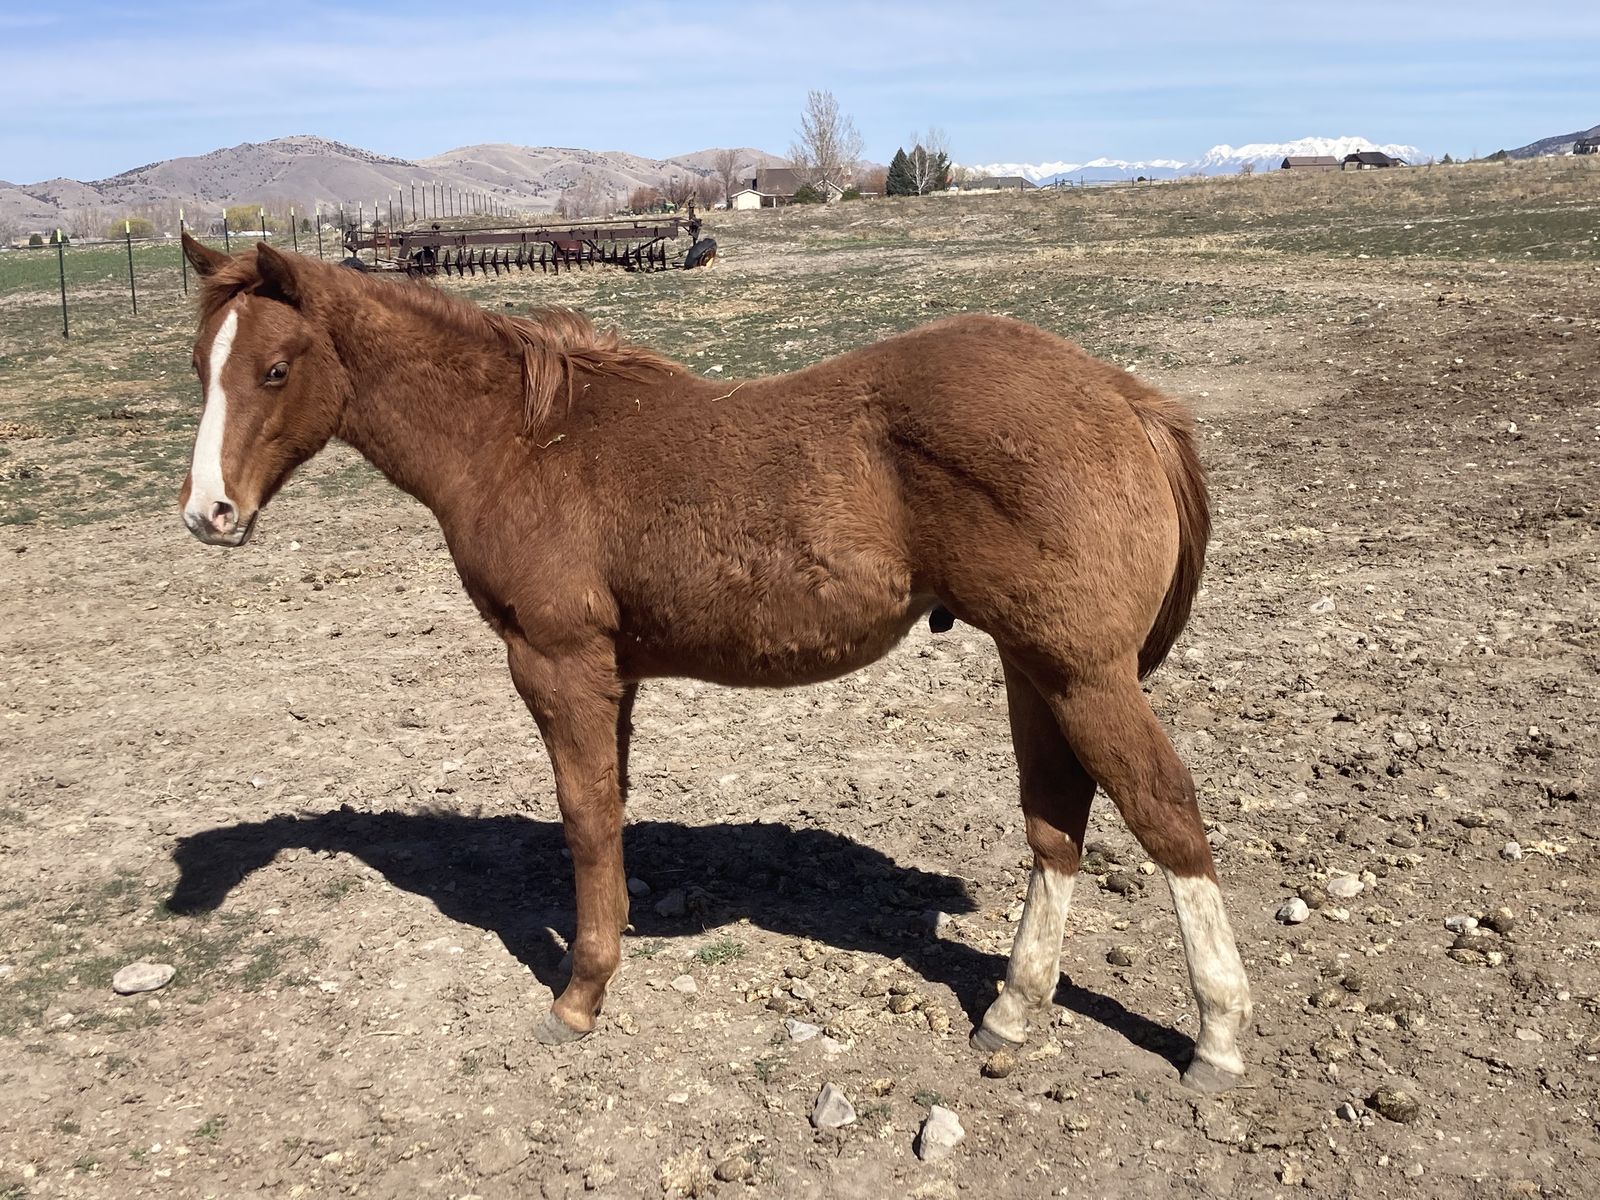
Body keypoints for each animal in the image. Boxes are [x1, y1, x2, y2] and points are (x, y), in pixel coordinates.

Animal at [174, 233, 1252, 1092]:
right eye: (199, 366)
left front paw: (579, 997)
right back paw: (1013, 1010)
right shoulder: (613, 673)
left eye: (276, 369)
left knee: (1163, 811)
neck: (521, 442)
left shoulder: (556, 663)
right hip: (1034, 667)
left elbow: (586, 820)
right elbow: (609, 812)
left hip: (1084, 673)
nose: (208, 515)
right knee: (1055, 823)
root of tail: (1125, 395)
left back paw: (1218, 1036)